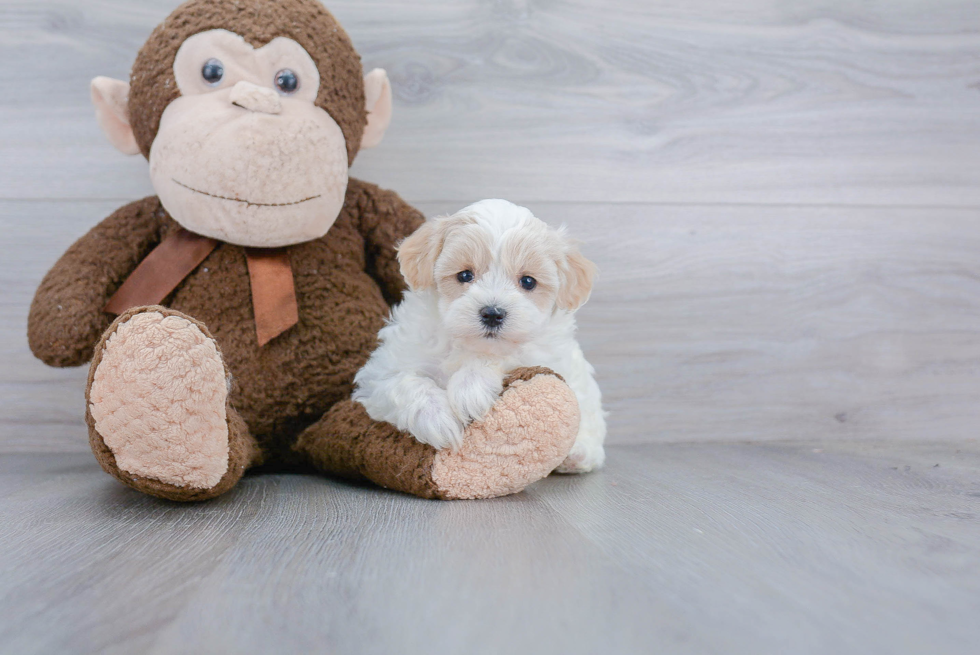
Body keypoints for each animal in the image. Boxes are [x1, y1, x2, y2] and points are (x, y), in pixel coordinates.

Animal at [352, 199, 604, 472]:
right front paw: (437, 418)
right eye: (465, 275)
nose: (493, 313)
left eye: (528, 281)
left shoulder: (542, 353)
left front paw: (469, 388)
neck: (466, 344)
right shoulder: (381, 373)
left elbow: (505, 356)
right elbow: (405, 383)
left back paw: (577, 454)